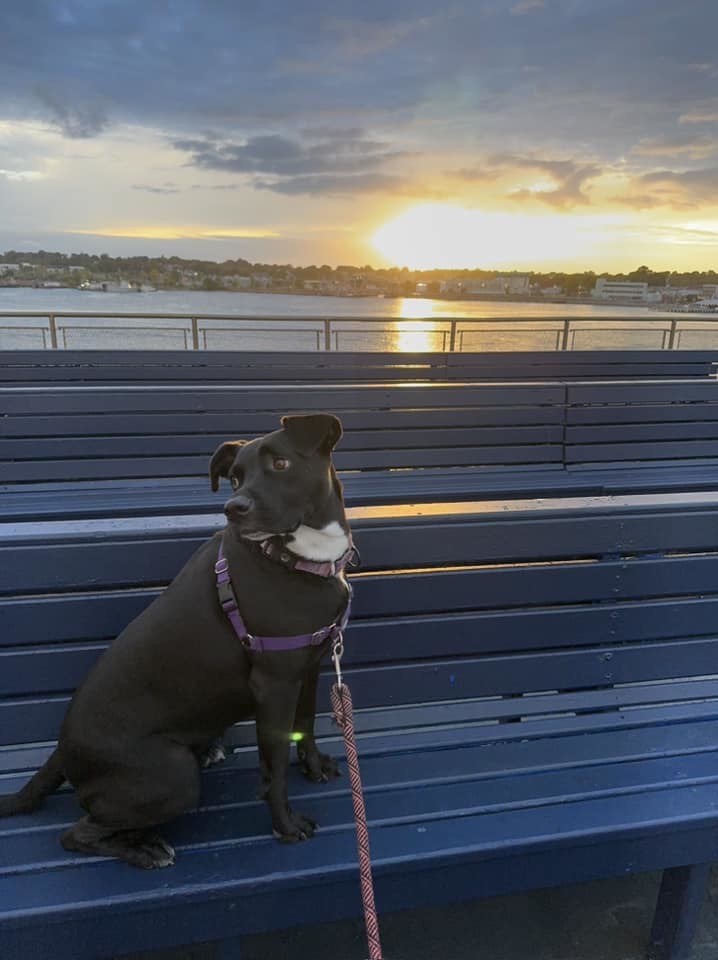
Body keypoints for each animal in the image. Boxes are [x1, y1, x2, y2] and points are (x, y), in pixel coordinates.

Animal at [0, 412, 354, 872]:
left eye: (280, 464)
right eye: (235, 478)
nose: (233, 508)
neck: (300, 556)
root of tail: (62, 750)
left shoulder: (307, 667)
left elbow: (306, 725)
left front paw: (313, 767)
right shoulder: (274, 684)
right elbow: (273, 767)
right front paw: (285, 825)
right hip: (173, 778)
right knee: (76, 833)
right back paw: (145, 849)